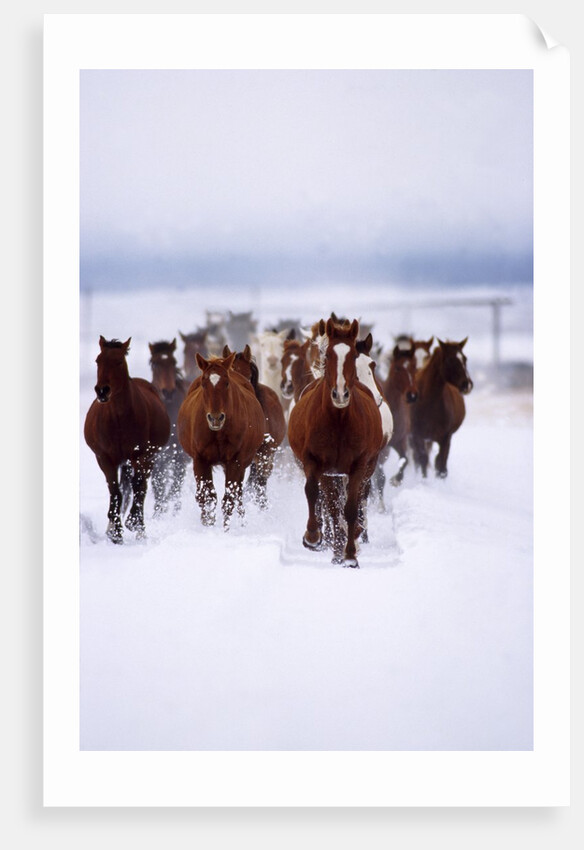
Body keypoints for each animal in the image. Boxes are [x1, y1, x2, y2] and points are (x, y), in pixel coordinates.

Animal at [84, 337, 171, 543]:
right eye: (98, 361)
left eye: (118, 362)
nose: (102, 391)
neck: (118, 420)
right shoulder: (105, 459)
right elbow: (115, 491)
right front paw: (115, 532)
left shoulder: (141, 455)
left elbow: (138, 486)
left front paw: (133, 522)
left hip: (149, 458)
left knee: (142, 486)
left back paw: (140, 528)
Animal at [177, 352, 266, 528]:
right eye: (204, 383)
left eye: (226, 383)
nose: (215, 418)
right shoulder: (200, 460)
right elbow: (206, 497)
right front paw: (207, 525)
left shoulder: (235, 461)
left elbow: (229, 498)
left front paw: (226, 529)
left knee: (238, 493)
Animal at [287, 318, 384, 567]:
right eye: (329, 355)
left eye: (353, 356)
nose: (340, 394)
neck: (338, 420)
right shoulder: (316, 463)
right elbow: (314, 494)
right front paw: (312, 537)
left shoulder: (358, 466)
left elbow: (350, 508)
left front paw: (350, 555)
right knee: (329, 504)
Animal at [382, 344, 419, 486]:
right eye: (397, 368)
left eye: (415, 367)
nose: (412, 395)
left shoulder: (400, 441)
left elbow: (405, 460)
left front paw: (396, 480)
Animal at [410, 338, 473, 478]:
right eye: (449, 360)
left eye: (465, 358)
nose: (467, 384)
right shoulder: (417, 436)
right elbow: (422, 460)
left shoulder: (445, 438)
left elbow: (441, 466)